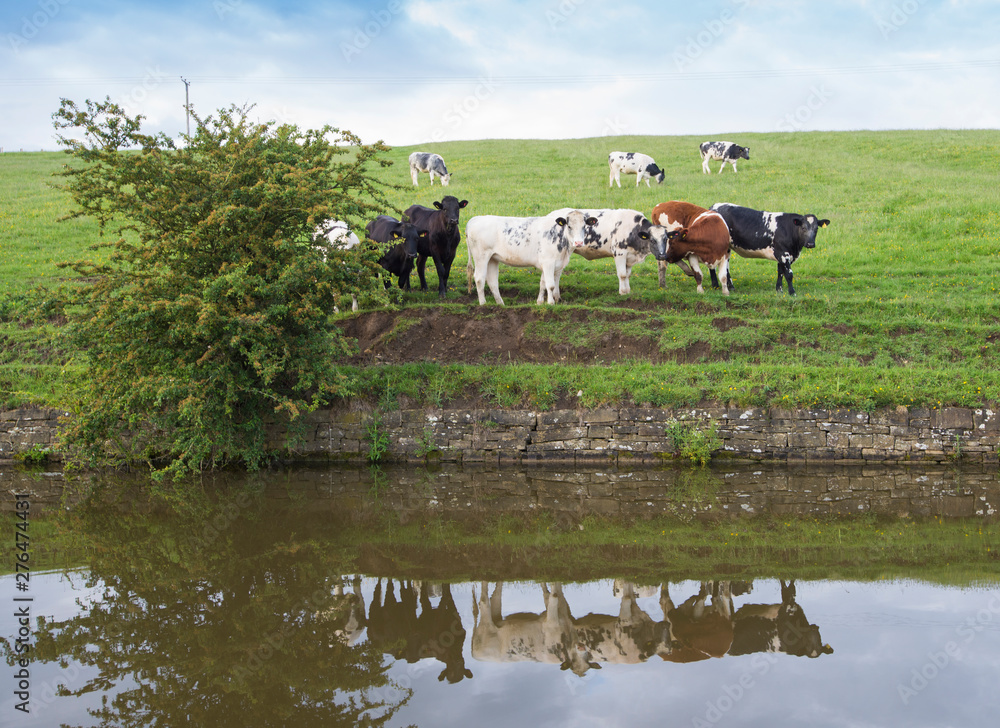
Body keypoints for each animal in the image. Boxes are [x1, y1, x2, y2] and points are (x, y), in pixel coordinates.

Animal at [465, 209, 598, 306]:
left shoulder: (549, 264)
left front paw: (539, 302)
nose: (579, 243)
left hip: (493, 258)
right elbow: (550, 285)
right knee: (479, 278)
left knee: (492, 281)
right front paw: (550, 303)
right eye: (569, 226)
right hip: (481, 257)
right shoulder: (549, 263)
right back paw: (483, 303)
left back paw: (500, 304)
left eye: (584, 226)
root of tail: (475, 219)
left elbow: (543, 283)